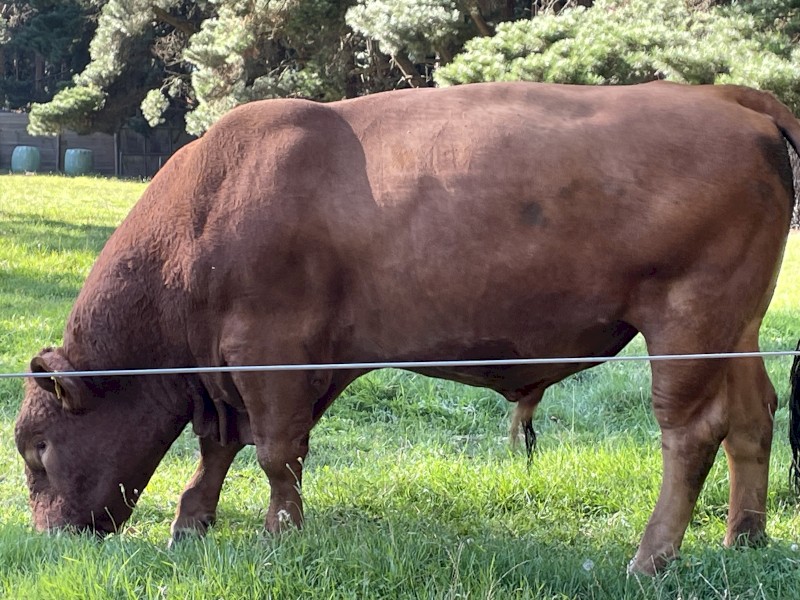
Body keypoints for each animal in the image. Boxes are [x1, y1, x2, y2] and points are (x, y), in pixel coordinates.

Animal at [14, 81, 800, 574]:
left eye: (36, 448)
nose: (48, 539)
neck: (207, 209)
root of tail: (726, 98)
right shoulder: (232, 373)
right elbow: (220, 447)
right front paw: (191, 525)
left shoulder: (270, 355)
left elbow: (274, 452)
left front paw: (277, 537)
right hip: (737, 327)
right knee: (753, 415)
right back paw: (745, 539)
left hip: (687, 322)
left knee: (690, 433)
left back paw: (650, 558)